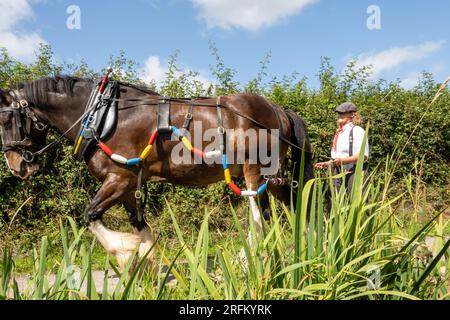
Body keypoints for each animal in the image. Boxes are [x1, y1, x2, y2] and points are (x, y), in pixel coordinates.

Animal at [0, 76, 312, 268]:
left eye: (4, 120)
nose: (17, 167)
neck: (102, 116)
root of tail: (277, 107)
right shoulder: (127, 184)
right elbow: (139, 225)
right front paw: (146, 267)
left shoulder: (119, 178)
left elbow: (90, 215)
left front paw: (124, 251)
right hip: (270, 176)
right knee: (290, 203)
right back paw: (304, 246)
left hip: (254, 170)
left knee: (260, 217)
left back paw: (248, 261)